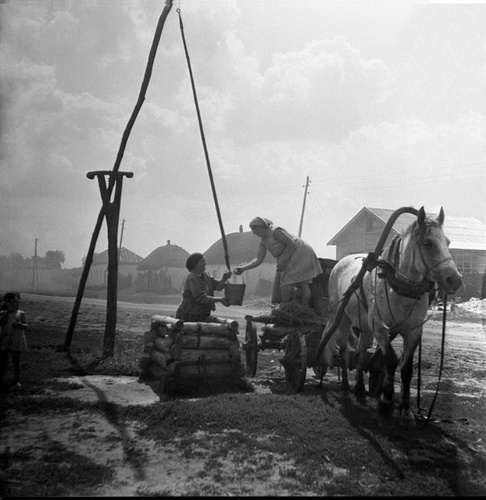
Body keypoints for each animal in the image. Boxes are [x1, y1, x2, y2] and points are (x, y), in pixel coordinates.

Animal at [318, 207, 464, 422]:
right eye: (427, 243)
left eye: (447, 242)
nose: (454, 279)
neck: (401, 290)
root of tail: (340, 263)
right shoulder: (380, 329)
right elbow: (391, 360)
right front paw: (386, 402)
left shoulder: (413, 332)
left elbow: (406, 368)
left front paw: (405, 408)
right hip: (341, 319)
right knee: (344, 352)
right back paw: (345, 387)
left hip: (365, 328)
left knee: (359, 356)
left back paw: (360, 391)